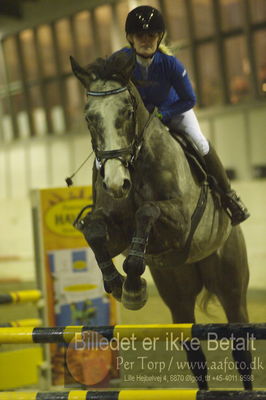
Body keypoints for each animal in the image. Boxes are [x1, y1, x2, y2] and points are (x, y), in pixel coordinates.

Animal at [69, 52, 252, 390]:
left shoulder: (179, 224)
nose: (116, 184)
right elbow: (95, 231)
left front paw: (131, 285)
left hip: (231, 286)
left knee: (241, 348)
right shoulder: (115, 231)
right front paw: (118, 283)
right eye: (89, 117)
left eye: (127, 112)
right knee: (194, 353)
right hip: (177, 293)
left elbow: (147, 212)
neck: (134, 164)